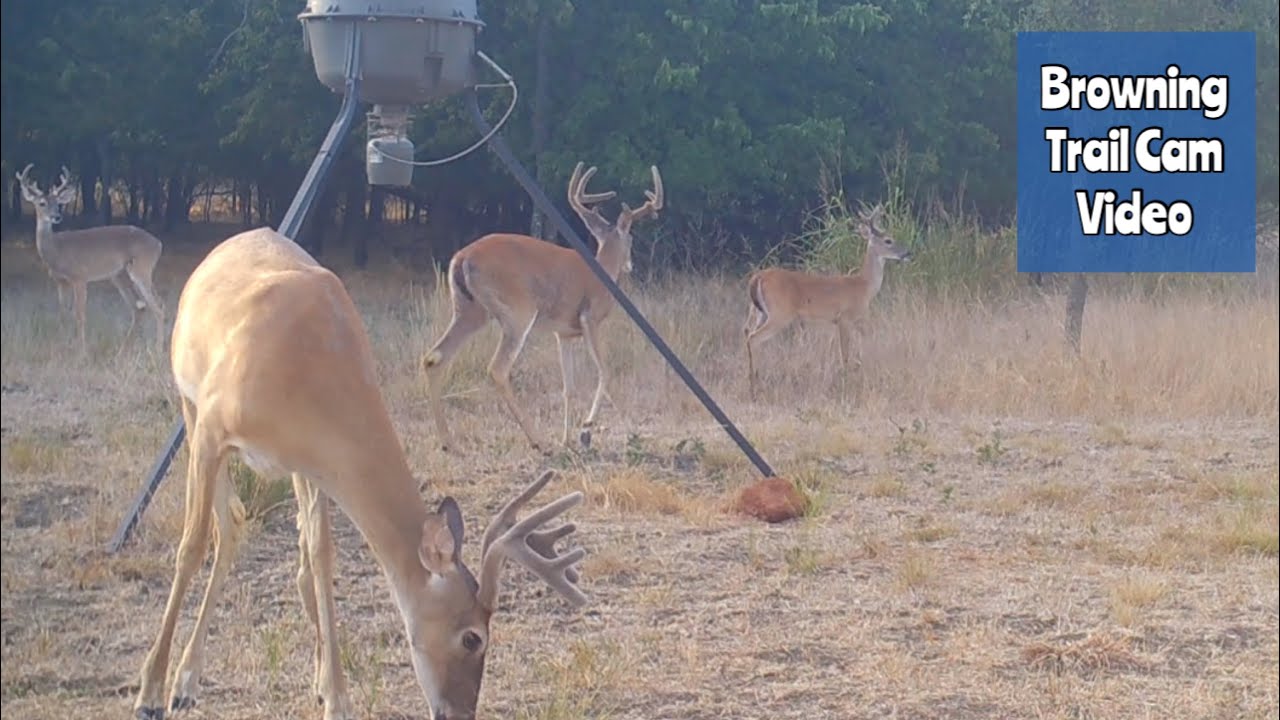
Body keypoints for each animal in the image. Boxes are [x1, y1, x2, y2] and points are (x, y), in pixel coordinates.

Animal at [16, 163, 166, 353]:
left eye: (58, 204)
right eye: (42, 203)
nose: (57, 216)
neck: (57, 251)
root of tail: (158, 244)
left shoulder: (79, 277)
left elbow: (79, 315)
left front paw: (81, 350)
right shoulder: (60, 281)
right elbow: (63, 313)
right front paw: (62, 345)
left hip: (142, 269)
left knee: (158, 305)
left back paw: (158, 350)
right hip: (119, 275)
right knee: (139, 308)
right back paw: (123, 349)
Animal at [133, 226, 589, 720]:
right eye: (473, 637)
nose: (460, 712)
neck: (308, 375)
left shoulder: (316, 462)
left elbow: (322, 559)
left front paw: (335, 696)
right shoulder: (214, 426)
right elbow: (191, 547)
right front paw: (149, 692)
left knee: (279, 543)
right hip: (189, 403)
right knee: (226, 525)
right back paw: (182, 683)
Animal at [422, 161, 664, 453]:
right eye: (630, 240)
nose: (630, 264)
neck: (602, 270)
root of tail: (462, 258)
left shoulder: (564, 333)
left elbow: (568, 386)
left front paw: (567, 438)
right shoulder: (590, 317)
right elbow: (605, 371)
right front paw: (585, 431)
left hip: (469, 310)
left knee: (435, 357)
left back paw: (449, 442)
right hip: (518, 311)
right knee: (497, 368)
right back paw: (538, 440)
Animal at [744, 203, 911, 398]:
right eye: (888, 240)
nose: (908, 252)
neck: (864, 286)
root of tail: (758, 277)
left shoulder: (839, 323)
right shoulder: (845, 318)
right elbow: (845, 354)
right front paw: (846, 384)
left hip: (760, 313)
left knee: (749, 334)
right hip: (780, 314)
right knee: (754, 338)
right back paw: (754, 388)